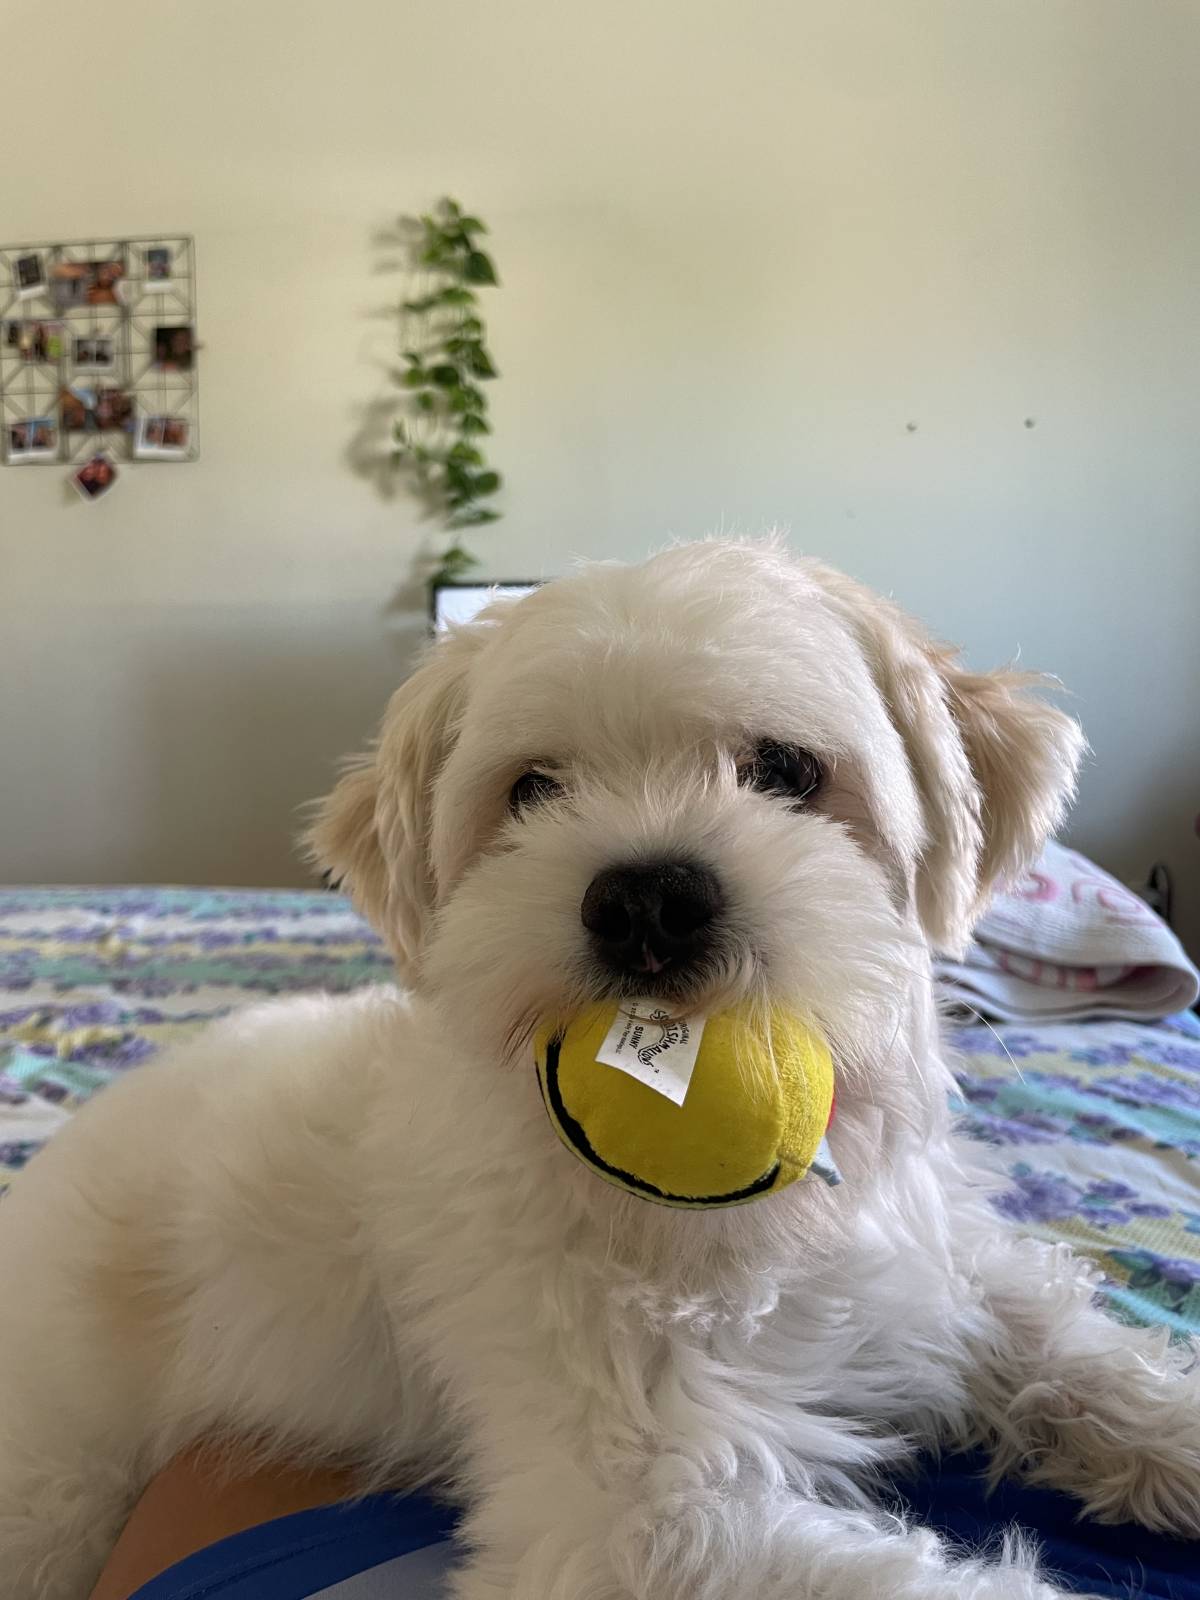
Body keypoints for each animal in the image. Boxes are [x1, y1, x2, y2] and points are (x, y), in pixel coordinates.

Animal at [2, 540, 1200, 1600]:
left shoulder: (935, 1263)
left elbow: (1064, 1340)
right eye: (533, 790)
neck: (756, 1223)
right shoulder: (641, 1518)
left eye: (786, 770)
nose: (646, 900)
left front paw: (1171, 1429)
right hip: (54, 1485)